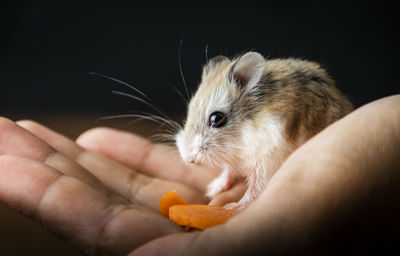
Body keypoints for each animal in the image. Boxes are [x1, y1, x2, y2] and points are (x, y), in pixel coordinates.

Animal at [176, 51, 354, 211]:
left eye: (216, 118)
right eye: (189, 111)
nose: (187, 158)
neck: (241, 134)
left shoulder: (265, 161)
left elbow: (255, 187)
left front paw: (233, 207)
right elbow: (228, 171)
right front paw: (213, 188)